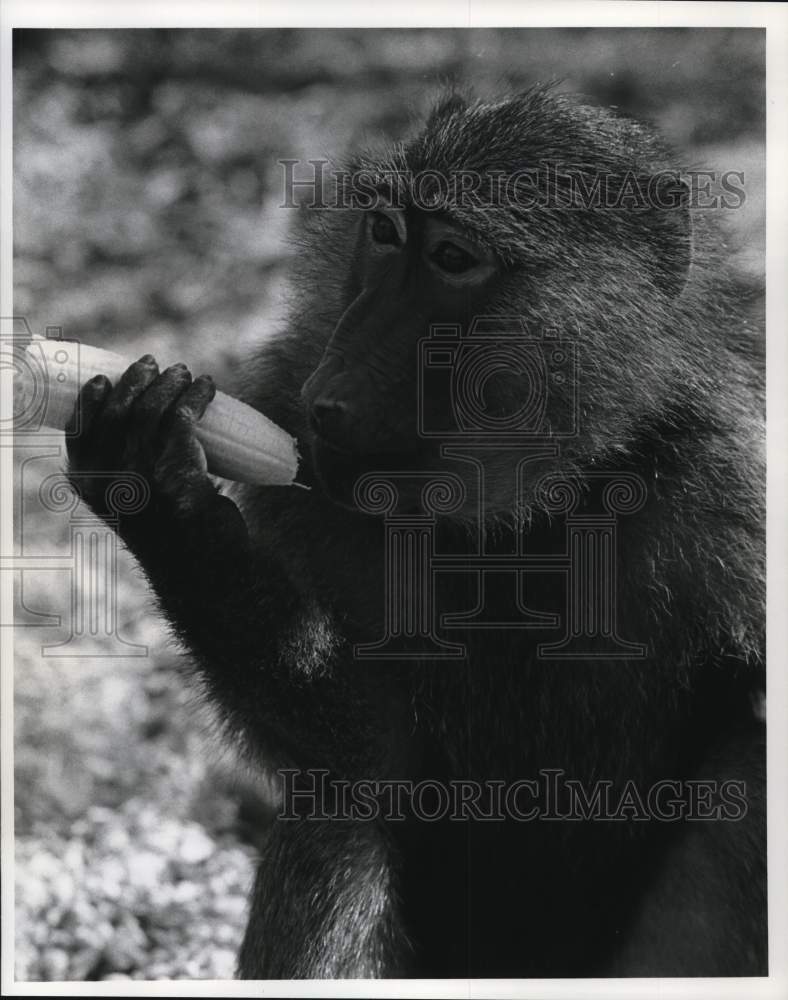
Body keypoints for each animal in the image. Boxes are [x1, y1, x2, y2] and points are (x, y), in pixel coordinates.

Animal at [65, 85, 766, 978]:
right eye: (385, 232)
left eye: (454, 257)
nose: (332, 391)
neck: (531, 507)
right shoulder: (297, 449)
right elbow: (367, 753)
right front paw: (161, 498)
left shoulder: (729, 487)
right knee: (342, 816)